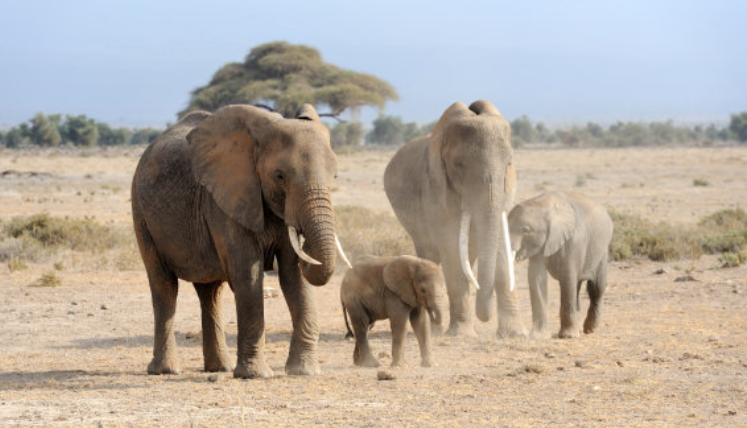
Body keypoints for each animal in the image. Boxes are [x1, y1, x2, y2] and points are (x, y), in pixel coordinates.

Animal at [131, 103, 348, 378]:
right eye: (279, 176)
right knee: (164, 286)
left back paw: (219, 367)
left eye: (335, 175)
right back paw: (166, 370)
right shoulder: (225, 198)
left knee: (210, 292)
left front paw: (304, 371)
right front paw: (255, 375)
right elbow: (248, 273)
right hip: (141, 213)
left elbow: (293, 275)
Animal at [382, 100, 524, 338]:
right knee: (430, 256)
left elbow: (502, 249)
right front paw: (462, 335)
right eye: (458, 164)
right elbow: (451, 251)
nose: (484, 317)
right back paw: (435, 330)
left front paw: (515, 334)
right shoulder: (435, 189)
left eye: (509, 164)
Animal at [508, 192, 612, 340]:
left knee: (595, 288)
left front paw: (568, 336)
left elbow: (567, 278)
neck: (546, 205)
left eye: (525, 230)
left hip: (602, 250)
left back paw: (589, 329)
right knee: (577, 287)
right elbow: (536, 278)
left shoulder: (573, 241)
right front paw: (538, 336)